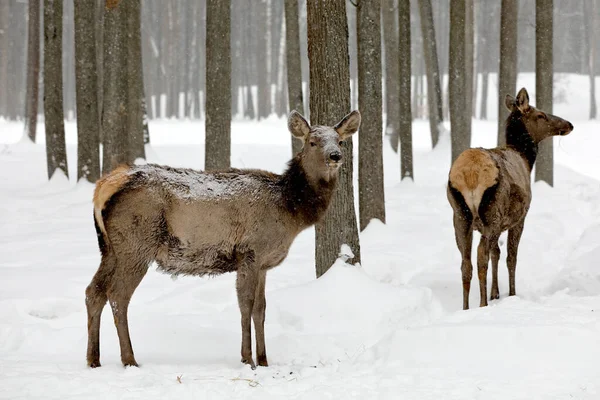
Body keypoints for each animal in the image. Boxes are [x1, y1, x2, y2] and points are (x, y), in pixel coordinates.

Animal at [85, 108, 360, 368]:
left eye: (340, 141)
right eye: (313, 142)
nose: (335, 156)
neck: (290, 209)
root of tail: (104, 185)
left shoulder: (263, 264)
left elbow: (261, 309)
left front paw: (264, 359)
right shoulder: (251, 252)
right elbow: (246, 305)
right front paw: (248, 359)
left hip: (109, 249)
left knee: (93, 291)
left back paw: (93, 359)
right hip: (136, 244)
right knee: (117, 294)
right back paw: (129, 359)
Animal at [448, 88, 576, 310]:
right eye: (540, 115)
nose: (569, 124)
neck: (525, 159)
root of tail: (470, 174)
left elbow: (496, 253)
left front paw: (495, 294)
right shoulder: (519, 218)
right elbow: (511, 257)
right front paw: (510, 294)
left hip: (460, 216)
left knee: (466, 261)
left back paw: (465, 308)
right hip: (492, 213)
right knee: (481, 255)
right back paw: (482, 304)